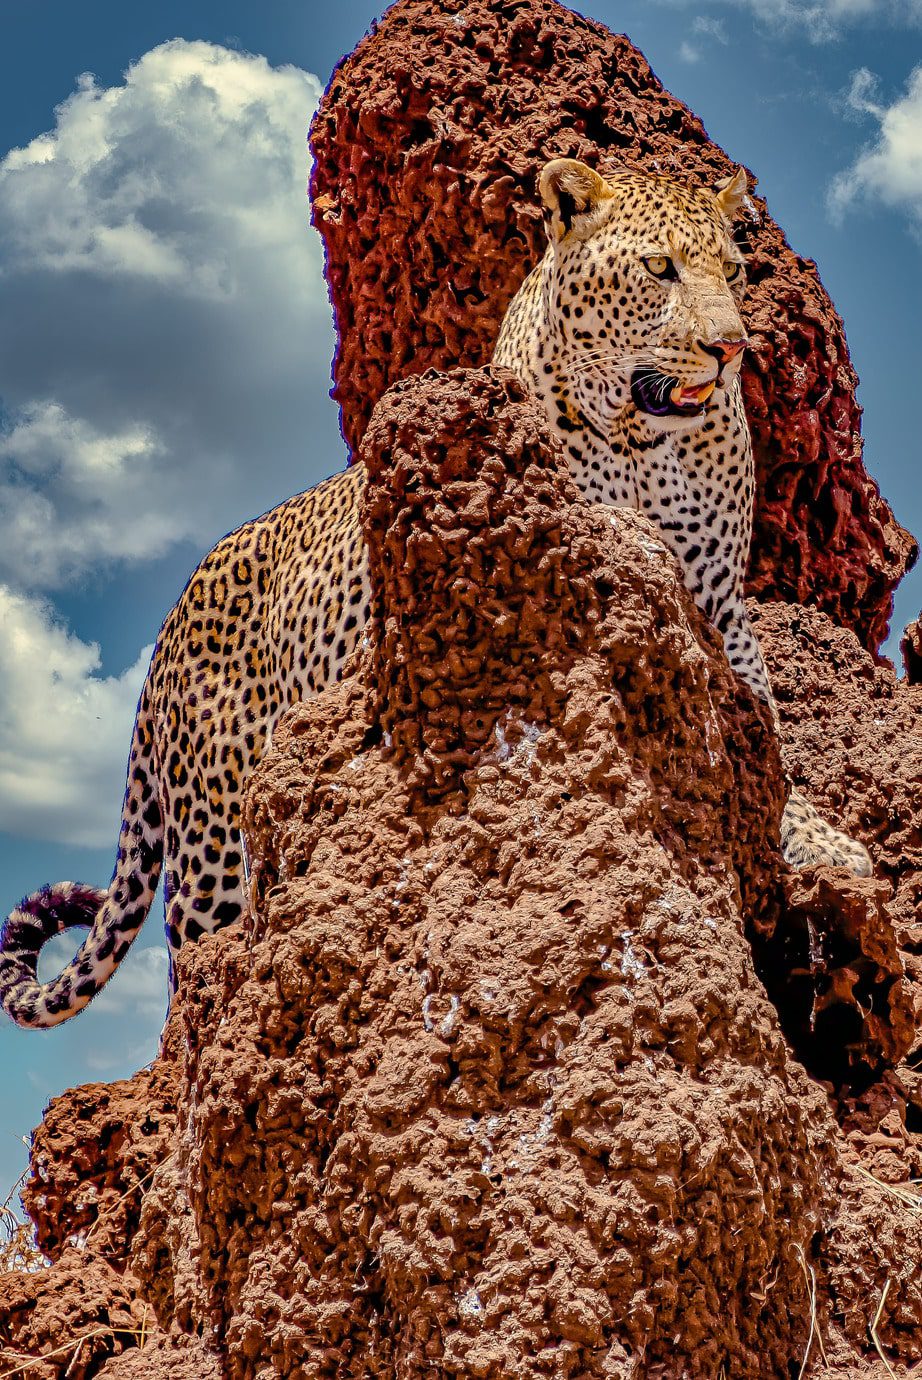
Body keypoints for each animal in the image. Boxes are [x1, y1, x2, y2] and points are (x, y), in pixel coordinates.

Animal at [0, 158, 866, 1026]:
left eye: (736, 271)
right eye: (660, 268)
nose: (729, 348)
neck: (649, 444)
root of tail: (172, 622)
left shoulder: (719, 611)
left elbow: (768, 740)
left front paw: (825, 839)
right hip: (210, 843)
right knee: (196, 967)